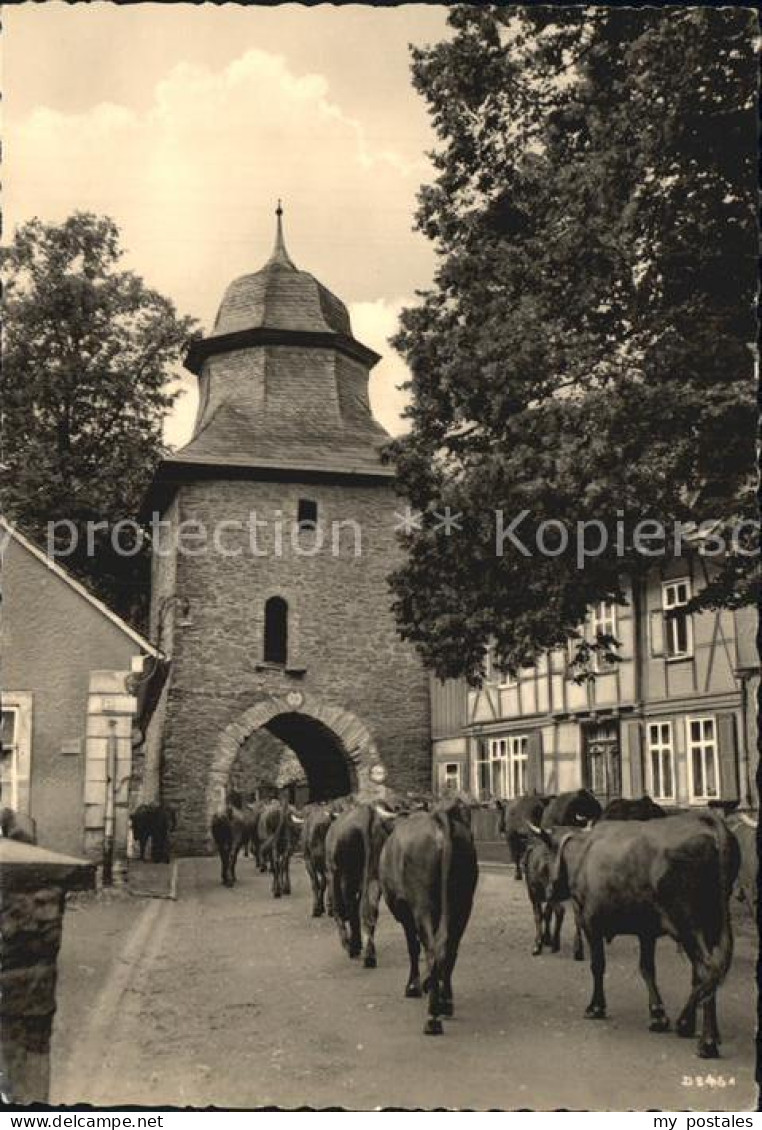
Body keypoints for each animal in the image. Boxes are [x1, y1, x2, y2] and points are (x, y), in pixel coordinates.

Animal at [377, 795, 477, 1035]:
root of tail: (438, 819)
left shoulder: (404, 911)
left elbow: (413, 947)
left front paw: (414, 985)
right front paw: (428, 983)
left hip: (423, 905)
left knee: (433, 951)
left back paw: (433, 1017)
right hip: (463, 904)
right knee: (449, 949)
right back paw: (446, 1001)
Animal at [547, 813, 737, 1057]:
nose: (549, 891)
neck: (582, 852)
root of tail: (708, 822)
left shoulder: (590, 923)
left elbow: (597, 965)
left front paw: (596, 1007)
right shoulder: (646, 931)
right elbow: (647, 969)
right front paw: (657, 1014)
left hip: (688, 924)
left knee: (707, 970)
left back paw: (703, 1038)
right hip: (711, 924)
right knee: (704, 976)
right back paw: (695, 1027)